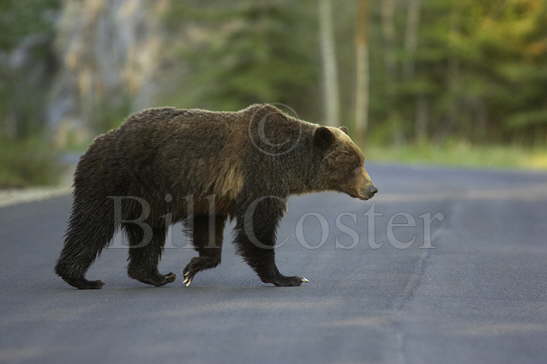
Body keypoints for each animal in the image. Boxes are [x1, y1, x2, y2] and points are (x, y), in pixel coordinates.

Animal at [55, 104, 376, 288]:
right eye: (355, 164)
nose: (372, 189)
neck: (289, 164)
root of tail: (97, 141)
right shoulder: (259, 175)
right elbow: (257, 228)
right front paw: (287, 277)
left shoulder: (214, 194)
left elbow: (207, 228)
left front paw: (192, 268)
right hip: (115, 179)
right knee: (92, 225)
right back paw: (80, 277)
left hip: (146, 199)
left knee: (148, 234)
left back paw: (156, 275)